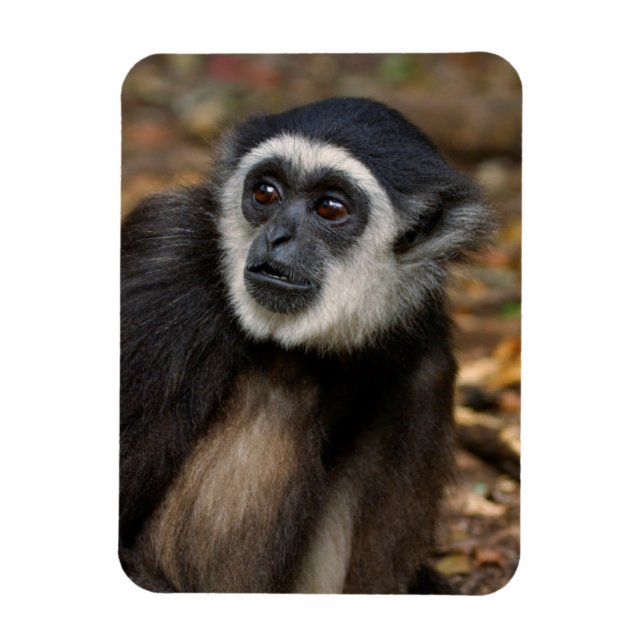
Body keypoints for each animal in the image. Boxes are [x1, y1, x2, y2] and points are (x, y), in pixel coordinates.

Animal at [120, 97, 491, 593]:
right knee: (278, 381)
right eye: (265, 194)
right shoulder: (165, 253)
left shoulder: (418, 310)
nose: (278, 235)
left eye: (330, 208)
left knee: (424, 375)